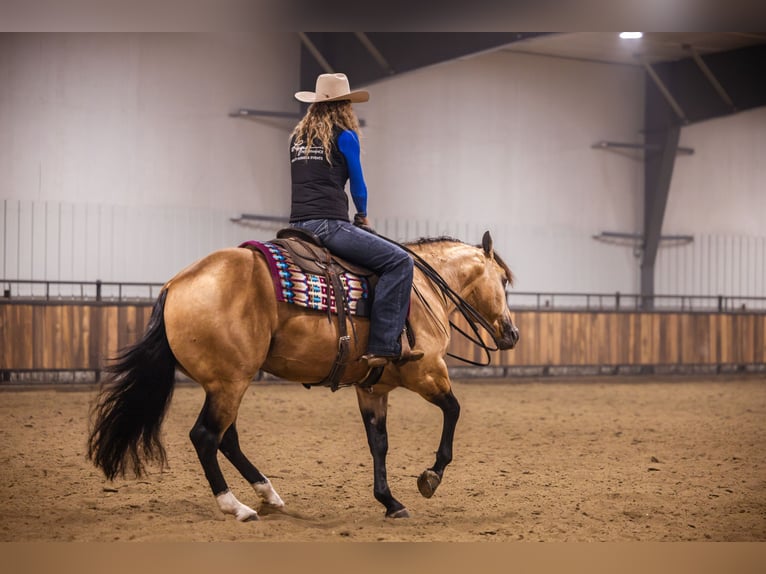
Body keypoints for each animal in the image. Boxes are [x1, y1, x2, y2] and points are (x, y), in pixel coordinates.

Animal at [87, 230, 519, 521]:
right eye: (503, 282)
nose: (512, 333)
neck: (422, 289)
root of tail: (176, 284)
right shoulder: (427, 372)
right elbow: (453, 411)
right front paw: (430, 477)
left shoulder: (372, 388)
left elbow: (378, 444)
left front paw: (389, 501)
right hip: (229, 383)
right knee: (206, 436)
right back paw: (236, 506)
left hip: (226, 383)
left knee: (226, 438)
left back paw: (268, 494)